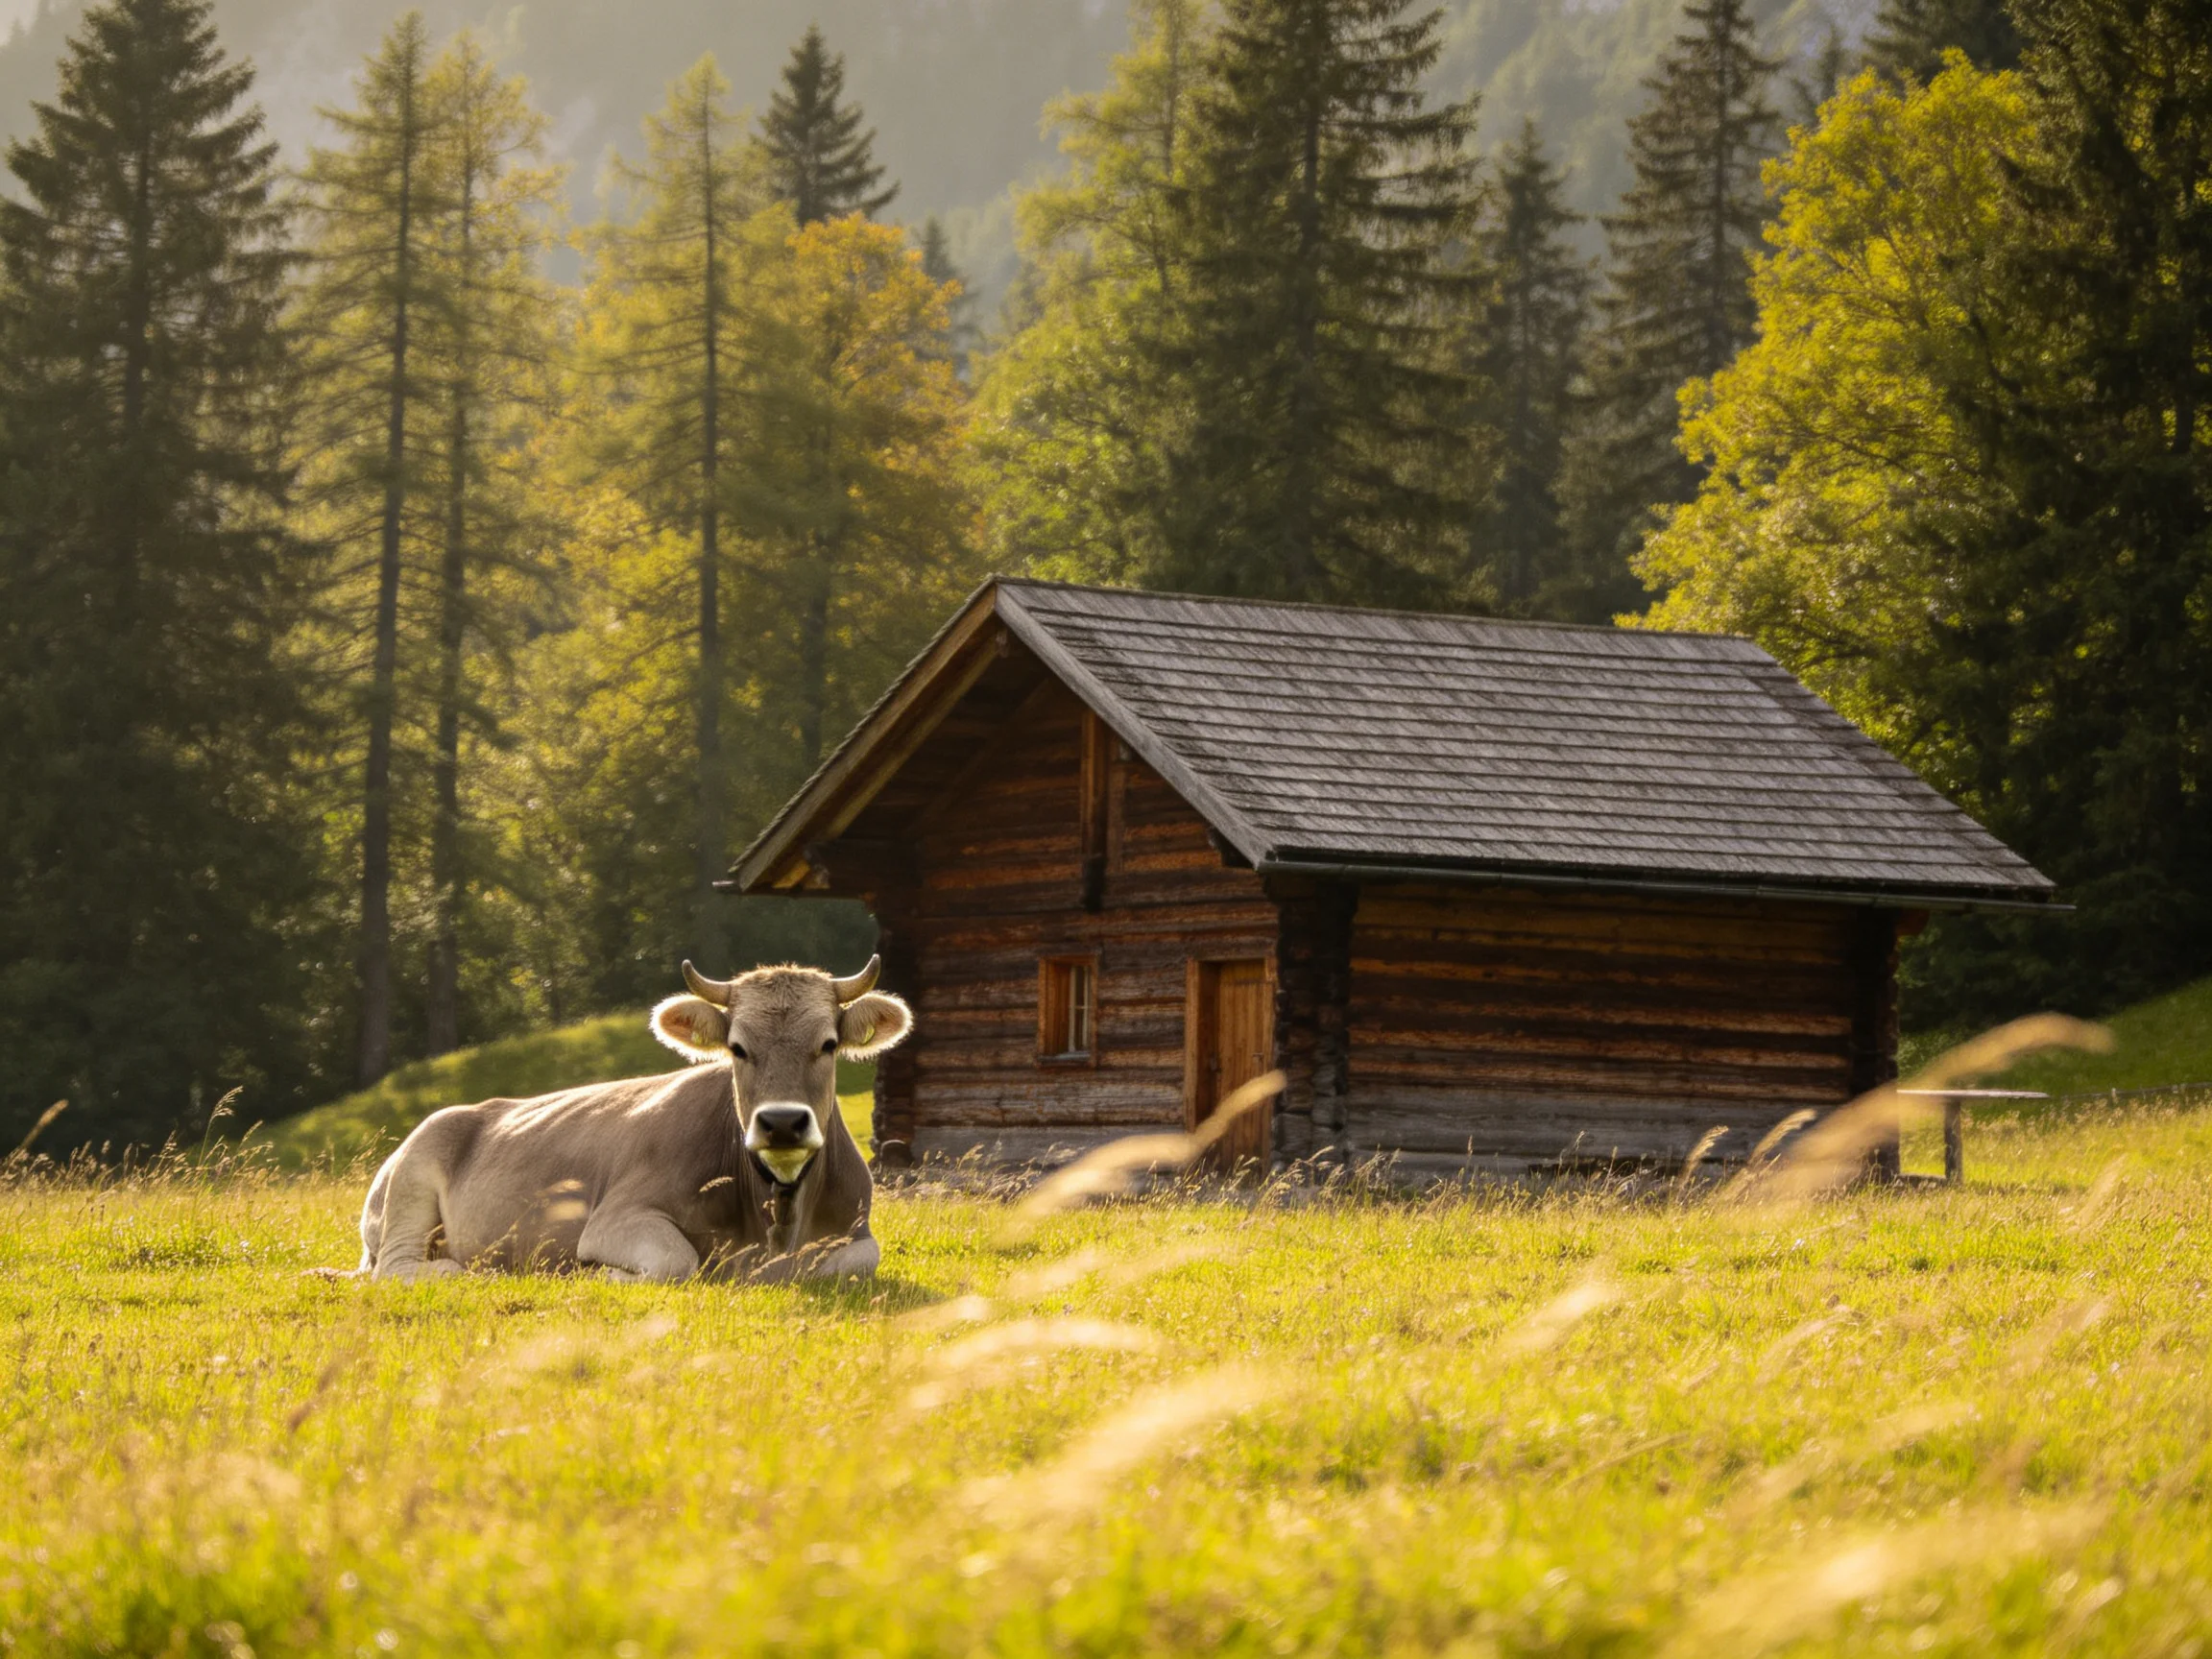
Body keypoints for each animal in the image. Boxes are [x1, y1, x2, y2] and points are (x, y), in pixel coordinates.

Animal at [345, 957, 912, 1283]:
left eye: (829, 1044)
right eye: (737, 1048)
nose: (782, 1123)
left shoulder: (858, 1231)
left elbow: (857, 1263)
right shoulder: (616, 1216)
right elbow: (677, 1263)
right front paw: (598, 1275)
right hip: (411, 1179)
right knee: (397, 1267)